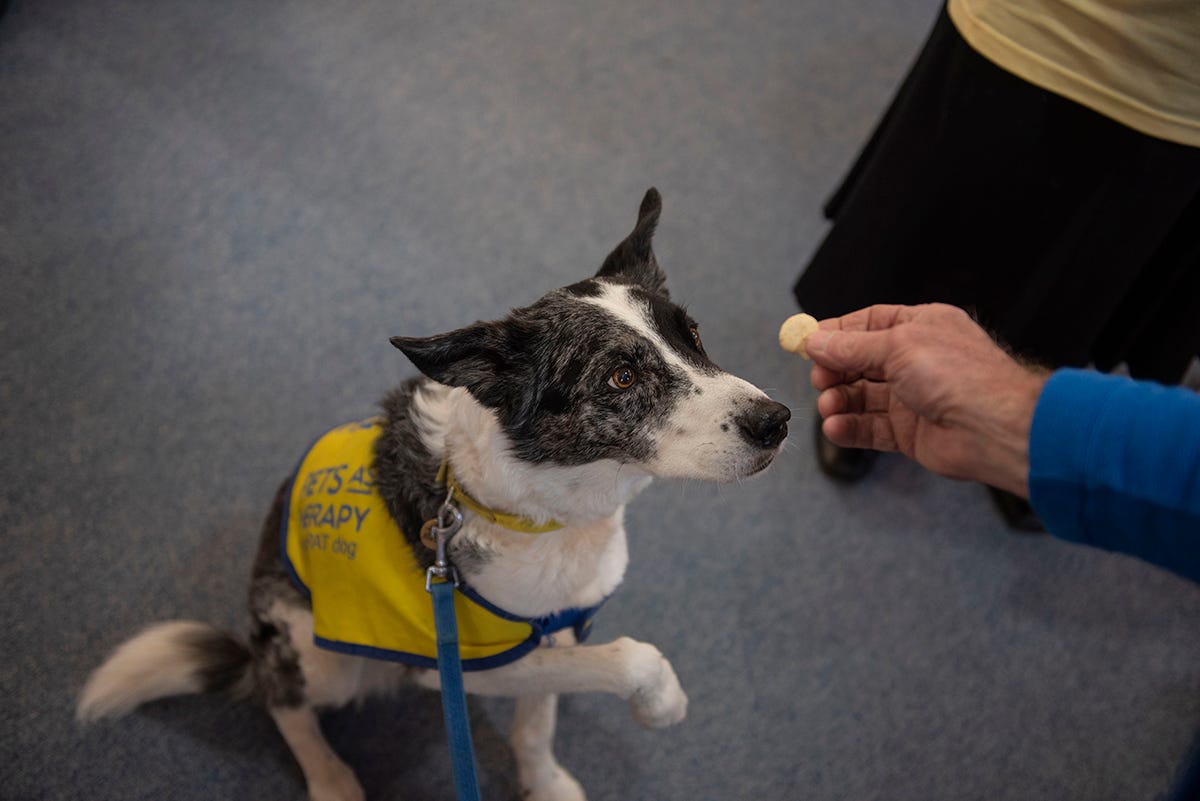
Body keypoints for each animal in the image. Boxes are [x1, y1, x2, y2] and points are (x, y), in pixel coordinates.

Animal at [75, 189, 787, 801]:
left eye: (694, 336)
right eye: (620, 377)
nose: (776, 421)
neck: (545, 512)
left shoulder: (554, 627)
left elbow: (539, 722)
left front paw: (545, 783)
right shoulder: (466, 659)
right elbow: (631, 659)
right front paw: (662, 703)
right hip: (323, 659)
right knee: (283, 701)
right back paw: (329, 777)